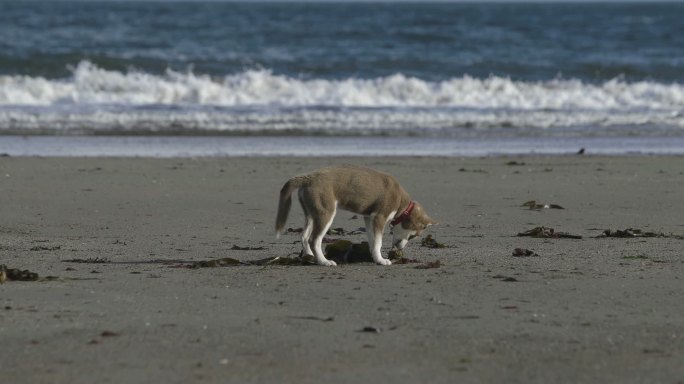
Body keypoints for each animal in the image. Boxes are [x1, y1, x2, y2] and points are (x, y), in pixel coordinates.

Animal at [272, 165, 432, 268]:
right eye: (413, 236)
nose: (399, 248)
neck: (403, 205)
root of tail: (308, 177)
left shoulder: (369, 218)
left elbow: (373, 241)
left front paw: (375, 257)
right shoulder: (379, 217)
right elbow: (379, 242)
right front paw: (381, 260)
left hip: (311, 214)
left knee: (304, 236)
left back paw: (310, 257)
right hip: (326, 213)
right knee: (314, 240)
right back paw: (324, 262)